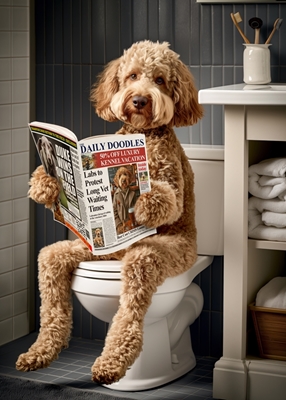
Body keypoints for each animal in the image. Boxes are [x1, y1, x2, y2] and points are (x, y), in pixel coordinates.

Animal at [16, 39, 203, 384]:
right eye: (132, 76)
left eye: (159, 80)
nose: (140, 100)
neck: (145, 135)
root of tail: (116, 255)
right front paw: (46, 185)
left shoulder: (171, 178)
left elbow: (170, 202)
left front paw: (146, 202)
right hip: (79, 254)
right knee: (51, 279)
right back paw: (41, 351)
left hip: (154, 256)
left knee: (131, 303)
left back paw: (112, 362)